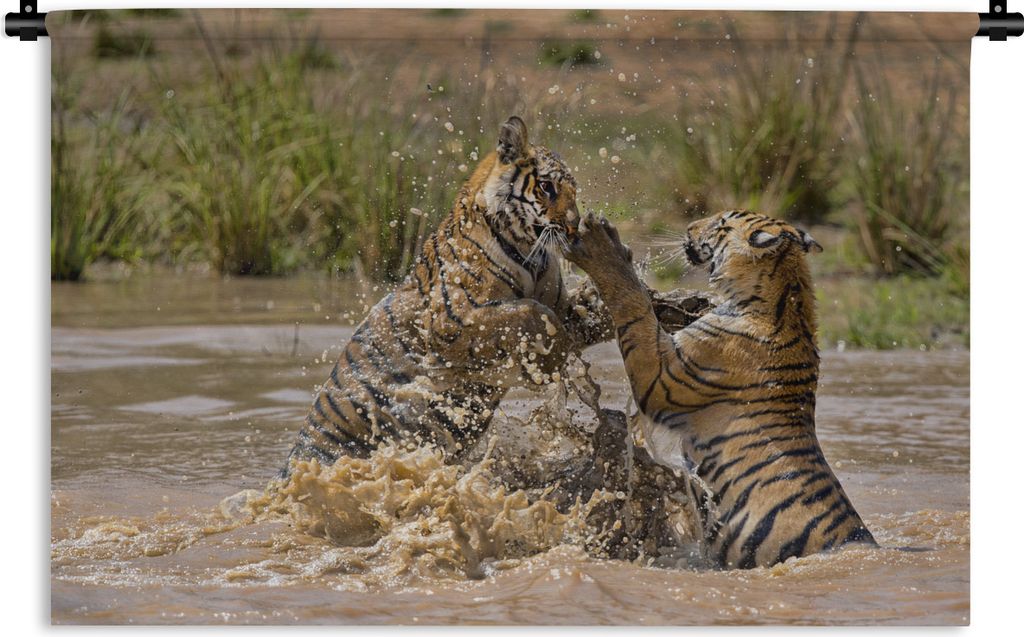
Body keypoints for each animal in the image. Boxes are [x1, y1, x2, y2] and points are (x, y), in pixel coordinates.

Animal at [281, 116, 613, 475]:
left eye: (574, 191)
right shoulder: (451, 320)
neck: (531, 253)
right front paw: (552, 360)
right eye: (547, 187)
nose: (574, 227)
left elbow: (579, 313)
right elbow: (530, 313)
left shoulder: (560, 304)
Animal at [565, 209, 876, 569]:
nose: (689, 228)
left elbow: (635, 306)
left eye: (721, 224)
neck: (785, 298)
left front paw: (603, 245)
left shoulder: (661, 379)